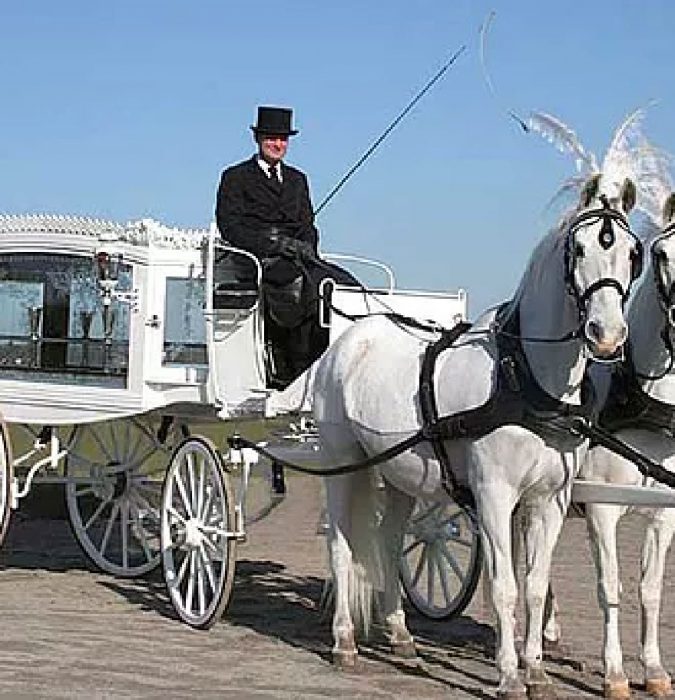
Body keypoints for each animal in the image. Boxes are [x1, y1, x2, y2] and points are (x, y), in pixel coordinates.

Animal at [314, 172, 640, 696]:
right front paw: (508, 676)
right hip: (342, 462)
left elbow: (534, 586)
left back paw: (401, 636)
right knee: (342, 545)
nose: (606, 334)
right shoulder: (494, 495)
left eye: (632, 252)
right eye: (580, 248)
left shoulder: (548, 501)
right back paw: (344, 642)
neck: (525, 378)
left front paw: (537, 671)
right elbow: (505, 586)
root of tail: (350, 339)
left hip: (400, 474)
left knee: (388, 541)